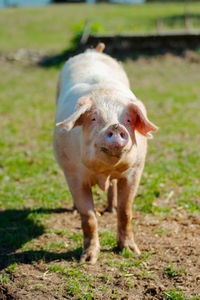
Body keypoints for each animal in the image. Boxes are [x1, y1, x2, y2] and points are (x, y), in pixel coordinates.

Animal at [53, 43, 158, 264]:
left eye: (128, 119)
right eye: (93, 118)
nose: (116, 126)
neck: (105, 171)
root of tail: (93, 52)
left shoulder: (136, 170)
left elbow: (126, 212)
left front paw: (131, 252)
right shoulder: (73, 173)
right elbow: (88, 217)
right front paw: (87, 260)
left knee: (113, 191)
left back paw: (111, 209)